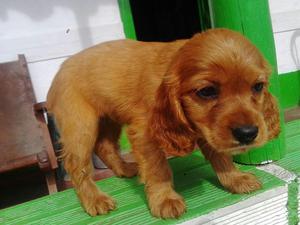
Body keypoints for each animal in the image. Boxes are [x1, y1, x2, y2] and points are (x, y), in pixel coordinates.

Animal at [46, 28, 278, 218]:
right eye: (207, 91)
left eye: (258, 86)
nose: (248, 133)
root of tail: (60, 69)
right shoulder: (144, 132)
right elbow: (158, 168)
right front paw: (164, 199)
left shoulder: (208, 130)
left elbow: (221, 157)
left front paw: (235, 179)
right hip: (80, 125)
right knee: (77, 164)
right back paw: (94, 199)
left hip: (110, 117)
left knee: (105, 146)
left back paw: (125, 169)